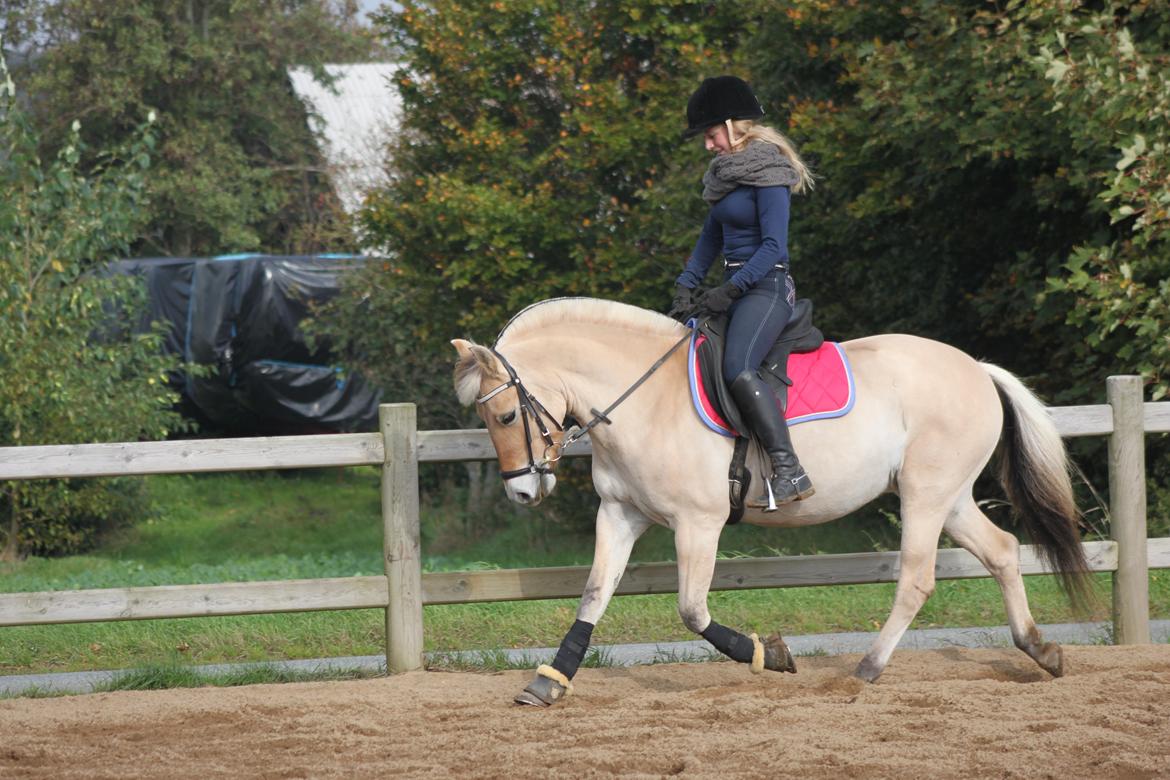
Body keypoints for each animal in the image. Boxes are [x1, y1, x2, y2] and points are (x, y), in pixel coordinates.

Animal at [451, 295, 1090, 706]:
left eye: (504, 416)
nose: (524, 490)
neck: (645, 399)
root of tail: (977, 369)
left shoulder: (698, 523)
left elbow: (692, 610)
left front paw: (771, 655)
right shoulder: (620, 515)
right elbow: (593, 595)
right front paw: (549, 682)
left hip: (926, 496)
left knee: (916, 579)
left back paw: (865, 671)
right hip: (950, 497)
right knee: (1003, 551)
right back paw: (1041, 651)